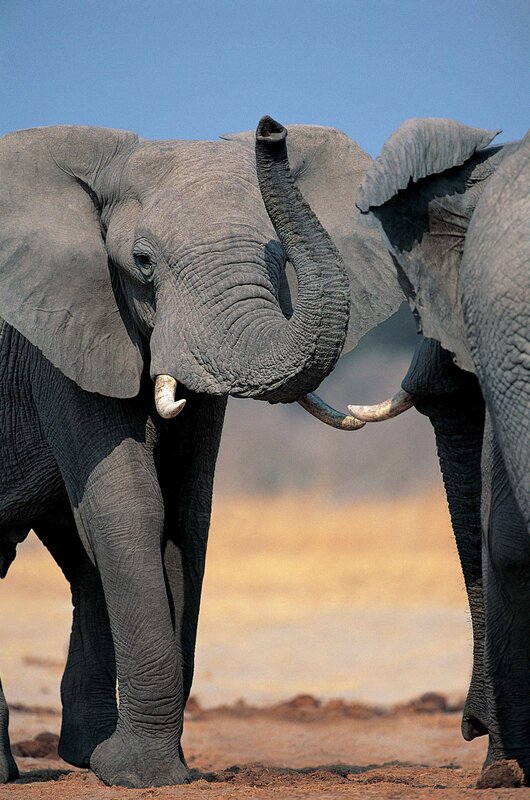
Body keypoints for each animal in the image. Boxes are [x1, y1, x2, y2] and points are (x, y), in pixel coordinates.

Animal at [0, 116, 402, 787]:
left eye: (280, 257)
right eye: (142, 263)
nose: (271, 130)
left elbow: (185, 513)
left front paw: (137, 769)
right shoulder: (60, 335)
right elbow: (130, 505)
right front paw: (142, 775)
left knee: (79, 559)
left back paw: (84, 756)